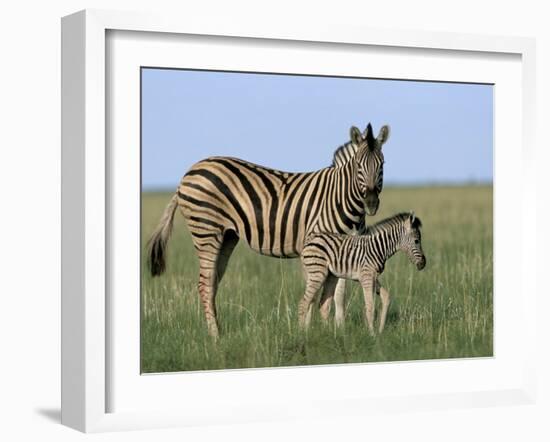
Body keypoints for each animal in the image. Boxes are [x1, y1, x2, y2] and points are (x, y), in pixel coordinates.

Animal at [144, 122, 390, 336]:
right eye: (358, 165)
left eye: (382, 164)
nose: (371, 203)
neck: (340, 197)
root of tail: (188, 173)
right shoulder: (318, 245)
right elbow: (316, 293)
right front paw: (308, 332)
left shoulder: (345, 248)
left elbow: (340, 292)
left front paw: (339, 331)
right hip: (206, 229)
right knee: (204, 284)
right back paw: (215, 338)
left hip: (226, 236)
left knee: (212, 281)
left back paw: (219, 331)